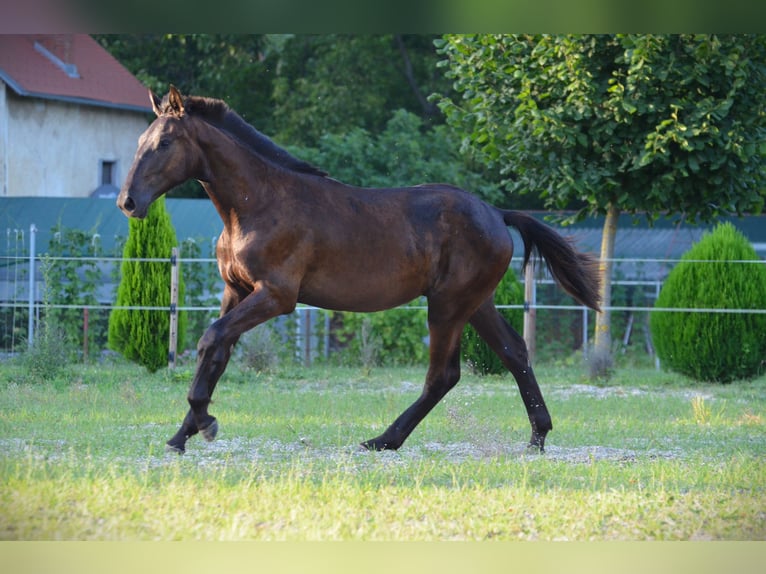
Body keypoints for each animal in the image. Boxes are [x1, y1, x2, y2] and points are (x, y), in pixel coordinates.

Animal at [117, 86, 604, 454]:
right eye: (139, 142)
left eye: (163, 144)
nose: (128, 202)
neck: (257, 205)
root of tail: (497, 214)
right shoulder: (235, 291)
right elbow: (216, 353)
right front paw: (182, 434)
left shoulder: (276, 296)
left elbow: (210, 339)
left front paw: (206, 422)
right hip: (476, 302)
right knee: (514, 352)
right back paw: (537, 437)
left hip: (448, 305)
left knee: (443, 375)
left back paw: (382, 440)